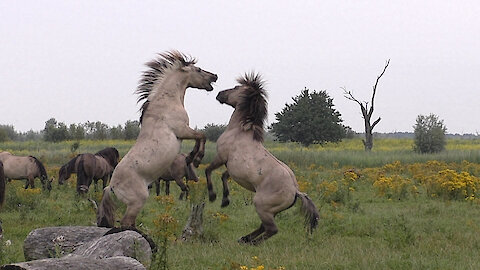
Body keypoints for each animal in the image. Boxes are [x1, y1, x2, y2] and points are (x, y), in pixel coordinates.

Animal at [96, 50, 217, 228]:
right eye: (199, 69)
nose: (215, 76)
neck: (167, 102)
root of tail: (111, 187)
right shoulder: (182, 130)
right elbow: (202, 136)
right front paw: (195, 158)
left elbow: (201, 136)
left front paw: (192, 158)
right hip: (138, 200)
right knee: (126, 222)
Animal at [203, 72, 318, 245]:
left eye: (236, 88)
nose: (219, 94)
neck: (238, 132)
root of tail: (296, 192)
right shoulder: (232, 168)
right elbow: (224, 176)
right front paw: (225, 200)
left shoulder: (221, 157)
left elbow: (208, 170)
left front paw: (212, 196)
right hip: (270, 211)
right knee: (264, 227)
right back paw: (244, 239)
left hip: (261, 205)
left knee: (271, 229)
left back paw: (251, 243)